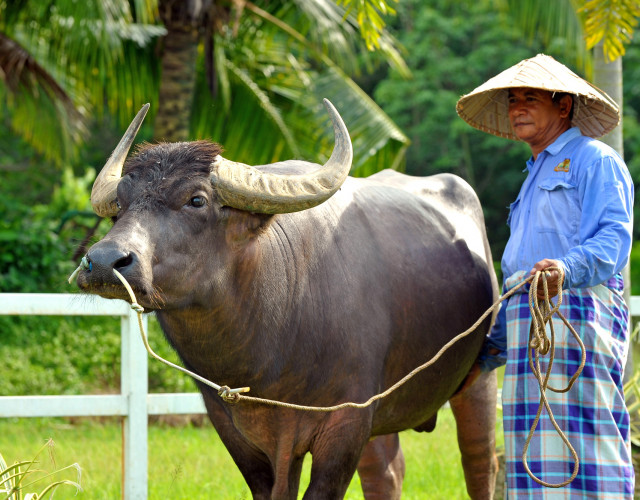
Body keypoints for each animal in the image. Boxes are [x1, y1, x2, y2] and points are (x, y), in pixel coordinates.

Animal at [74, 100, 499, 499]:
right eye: (120, 206)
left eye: (196, 200)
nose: (105, 261)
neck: (270, 358)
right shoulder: (235, 428)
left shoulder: (347, 422)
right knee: (387, 474)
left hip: (481, 374)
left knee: (480, 462)